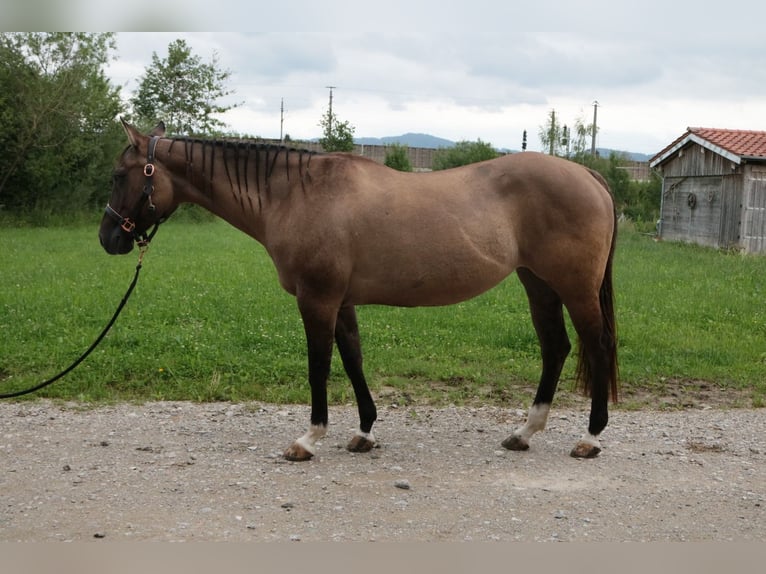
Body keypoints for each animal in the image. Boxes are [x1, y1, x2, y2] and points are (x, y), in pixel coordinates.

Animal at [100, 119, 618, 461]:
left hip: (574, 288)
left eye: (119, 175)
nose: (109, 238)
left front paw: (308, 440)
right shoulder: (341, 301)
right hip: (538, 284)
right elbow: (352, 359)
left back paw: (591, 438)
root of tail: (587, 175)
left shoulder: (317, 300)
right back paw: (524, 433)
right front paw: (365, 432)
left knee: (595, 345)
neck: (296, 194)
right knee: (556, 347)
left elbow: (319, 366)